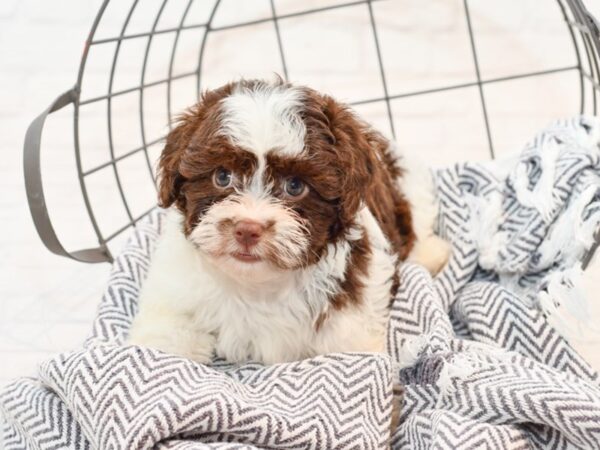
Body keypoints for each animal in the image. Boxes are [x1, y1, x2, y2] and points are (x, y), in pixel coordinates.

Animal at [127, 78, 450, 366]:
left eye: (295, 186)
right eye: (222, 176)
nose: (247, 230)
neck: (256, 285)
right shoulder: (175, 295)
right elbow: (166, 340)